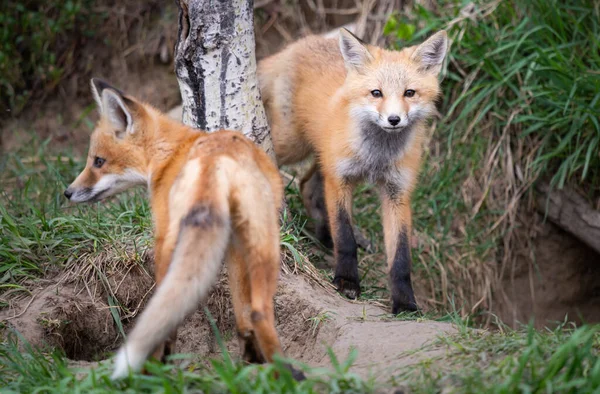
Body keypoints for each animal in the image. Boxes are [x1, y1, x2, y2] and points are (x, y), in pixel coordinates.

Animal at [65, 79, 298, 378]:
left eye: (98, 161)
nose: (68, 192)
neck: (171, 152)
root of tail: (215, 162)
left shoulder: (163, 232)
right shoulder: (233, 245)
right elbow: (242, 314)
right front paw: (250, 357)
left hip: (175, 241)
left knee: (165, 308)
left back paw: (153, 366)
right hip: (264, 239)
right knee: (259, 310)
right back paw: (285, 373)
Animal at [258, 28, 450, 314]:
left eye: (410, 93)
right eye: (376, 93)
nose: (394, 119)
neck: (376, 157)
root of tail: (297, 44)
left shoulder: (397, 192)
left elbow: (401, 256)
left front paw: (405, 302)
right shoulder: (340, 179)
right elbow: (345, 237)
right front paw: (347, 281)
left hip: (321, 153)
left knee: (307, 185)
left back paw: (323, 235)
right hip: (292, 144)